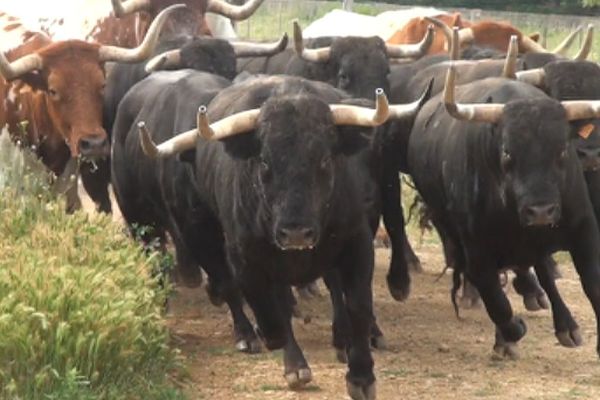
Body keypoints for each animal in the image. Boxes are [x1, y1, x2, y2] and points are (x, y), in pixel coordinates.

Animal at [408, 72, 600, 360]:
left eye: (563, 150)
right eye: (508, 152)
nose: (540, 211)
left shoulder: (584, 232)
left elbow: (592, 284)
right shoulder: (477, 251)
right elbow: (497, 302)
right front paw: (510, 333)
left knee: (543, 270)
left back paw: (565, 324)